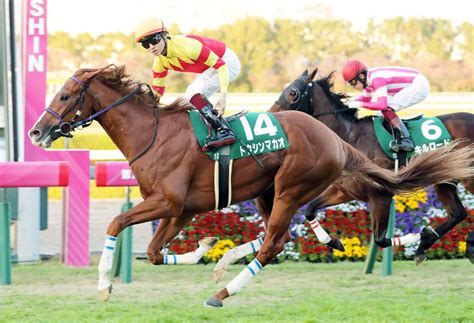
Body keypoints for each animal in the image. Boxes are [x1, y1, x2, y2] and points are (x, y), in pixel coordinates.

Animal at [272, 69, 472, 266]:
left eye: (293, 93)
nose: (271, 115)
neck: (351, 137)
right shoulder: (344, 191)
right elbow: (310, 210)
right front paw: (334, 242)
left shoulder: (380, 194)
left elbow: (380, 239)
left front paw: (420, 234)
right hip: (445, 180)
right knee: (458, 213)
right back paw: (425, 247)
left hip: (468, 178)